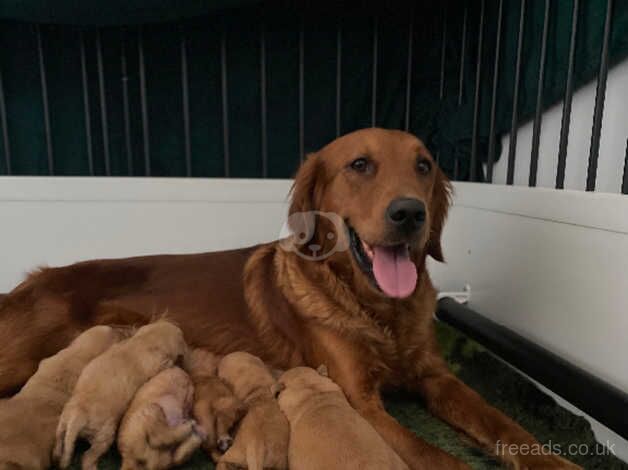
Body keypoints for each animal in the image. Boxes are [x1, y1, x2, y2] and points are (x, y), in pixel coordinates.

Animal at [53, 320, 186, 470]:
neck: (144, 341)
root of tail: (78, 415)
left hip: (63, 424)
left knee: (59, 443)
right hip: (104, 435)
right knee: (88, 457)